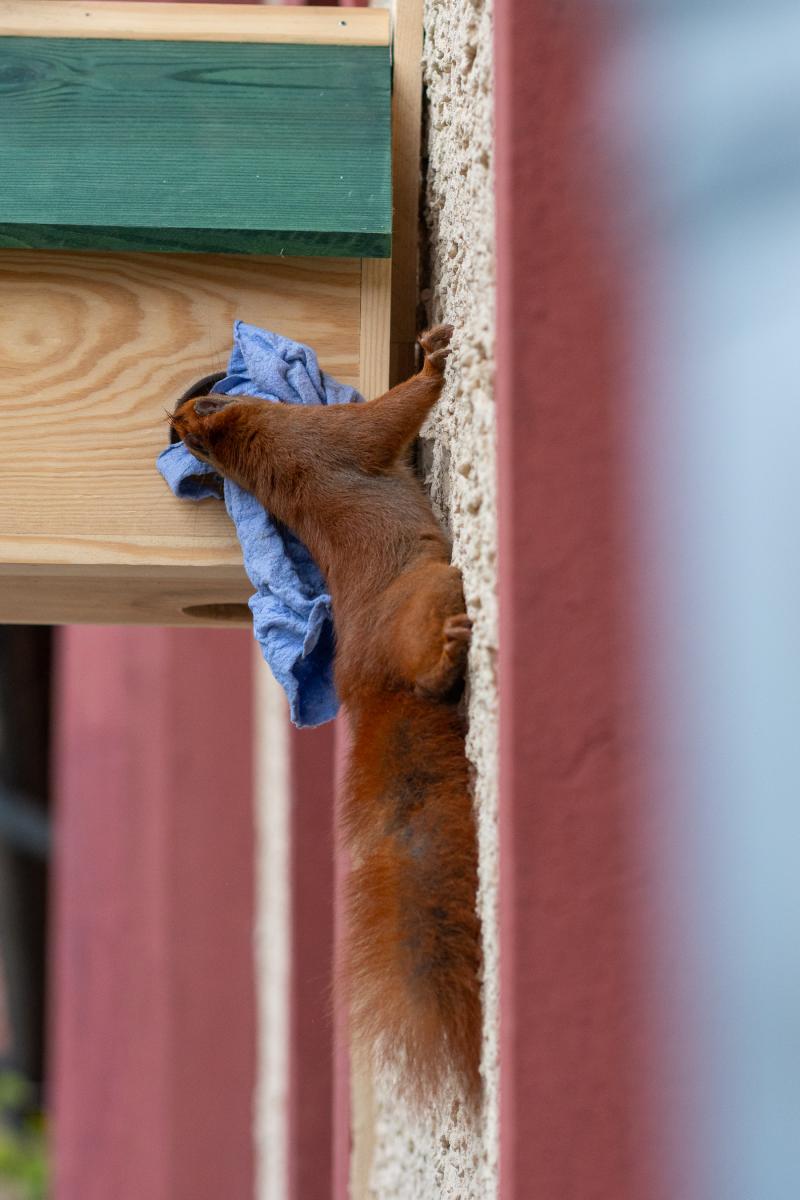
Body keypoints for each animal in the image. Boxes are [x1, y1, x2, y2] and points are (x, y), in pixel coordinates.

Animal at [170, 324, 482, 1099]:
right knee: (430, 662)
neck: (260, 451)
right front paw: (434, 359)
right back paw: (450, 650)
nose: (178, 409)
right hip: (428, 592)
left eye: (191, 415)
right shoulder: (335, 438)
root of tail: (372, 687)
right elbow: (391, 417)